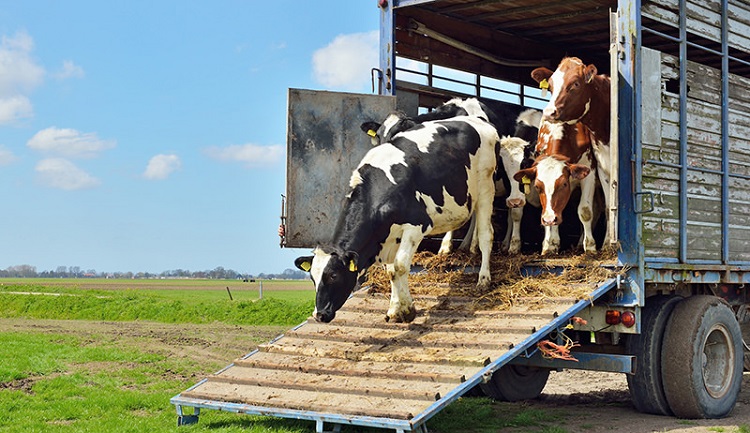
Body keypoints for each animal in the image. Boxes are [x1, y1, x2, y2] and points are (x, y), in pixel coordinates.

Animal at [296, 113, 502, 322]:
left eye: (334, 275)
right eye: (312, 278)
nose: (319, 314)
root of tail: (478, 120)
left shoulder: (417, 225)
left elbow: (400, 266)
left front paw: (406, 310)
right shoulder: (389, 236)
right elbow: (391, 271)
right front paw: (396, 309)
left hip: (486, 187)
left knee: (486, 234)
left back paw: (483, 279)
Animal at [532, 57, 612, 243]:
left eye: (575, 83)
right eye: (550, 86)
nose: (549, 112)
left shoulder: (590, 170)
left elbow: (585, 210)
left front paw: (593, 245)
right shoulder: (602, 167)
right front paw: (550, 243)